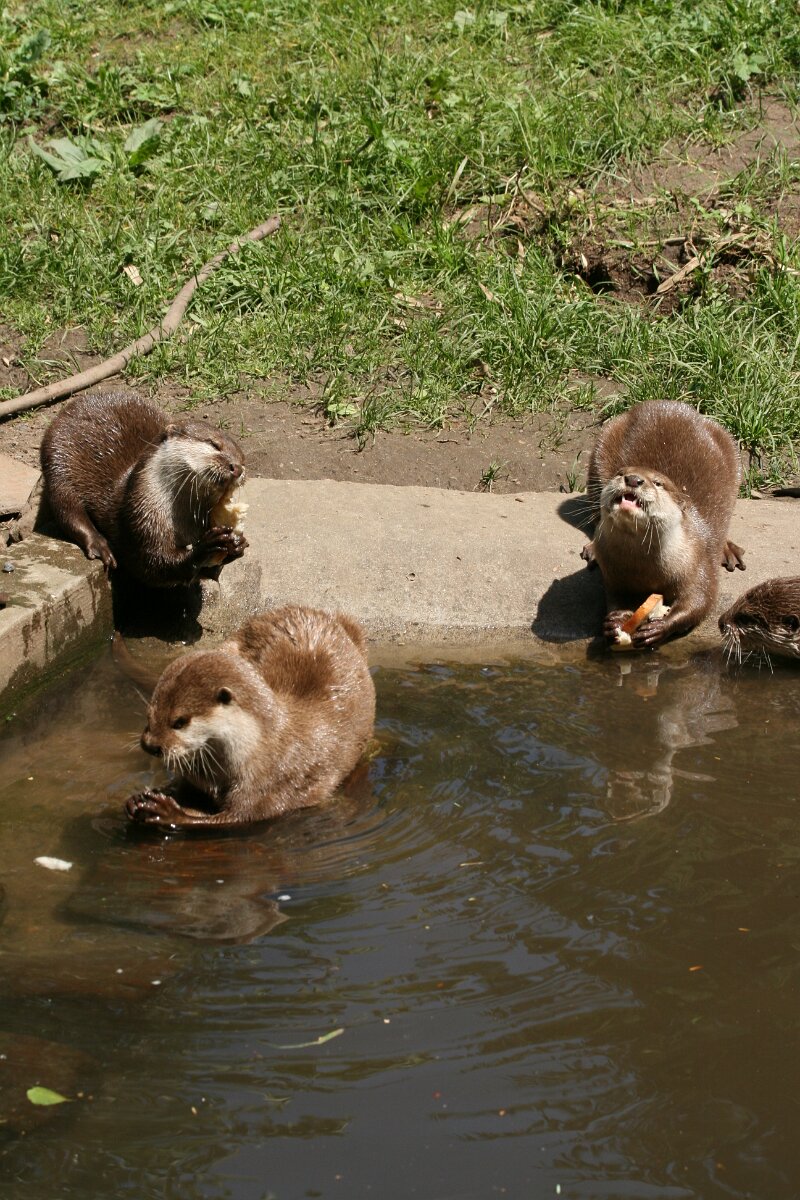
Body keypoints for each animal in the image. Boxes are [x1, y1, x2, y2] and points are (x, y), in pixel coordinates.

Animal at [40, 392, 247, 587]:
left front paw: (237, 546)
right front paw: (206, 546)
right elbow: (153, 564)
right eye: (214, 444)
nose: (237, 468)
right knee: (68, 512)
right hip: (57, 466)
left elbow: (207, 573)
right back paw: (100, 545)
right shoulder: (141, 520)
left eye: (242, 458)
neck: (183, 523)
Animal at [126, 605, 375, 828]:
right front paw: (139, 799)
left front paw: (166, 812)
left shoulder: (273, 782)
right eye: (149, 714)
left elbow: (238, 817)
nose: (150, 745)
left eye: (179, 722)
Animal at [582, 400, 744, 647]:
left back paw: (729, 551)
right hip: (602, 444)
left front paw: (661, 626)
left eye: (657, 483)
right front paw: (614, 622)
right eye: (620, 473)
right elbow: (615, 598)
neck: (645, 569)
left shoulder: (699, 560)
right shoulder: (613, 574)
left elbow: (701, 600)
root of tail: (664, 401)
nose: (633, 479)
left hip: (730, 448)